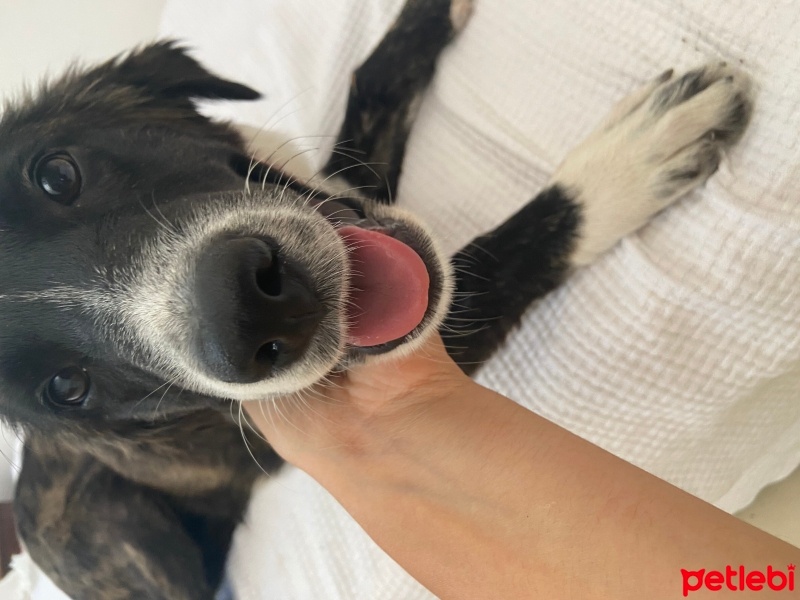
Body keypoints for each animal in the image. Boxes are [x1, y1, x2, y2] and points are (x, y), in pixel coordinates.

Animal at [0, 1, 752, 600]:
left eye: (58, 173)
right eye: (68, 388)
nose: (247, 315)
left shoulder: (348, 176)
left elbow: (372, 88)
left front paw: (427, 11)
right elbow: (495, 260)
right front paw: (628, 163)